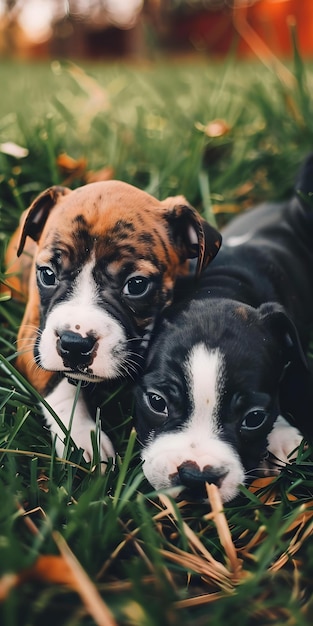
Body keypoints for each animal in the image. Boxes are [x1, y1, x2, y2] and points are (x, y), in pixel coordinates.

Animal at [4, 180, 219, 464]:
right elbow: (57, 384)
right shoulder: (32, 342)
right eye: (47, 274)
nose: (74, 344)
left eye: (137, 285)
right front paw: (81, 438)